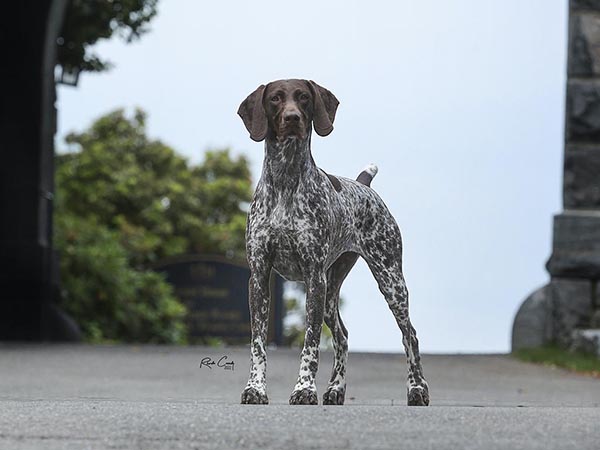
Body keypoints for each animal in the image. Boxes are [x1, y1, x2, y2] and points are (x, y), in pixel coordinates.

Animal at [237, 79, 428, 406]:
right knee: (343, 337)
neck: (286, 179)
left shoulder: (314, 277)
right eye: (275, 98)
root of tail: (363, 185)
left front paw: (304, 389)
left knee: (410, 335)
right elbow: (258, 343)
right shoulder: (259, 277)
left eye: (303, 97)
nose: (292, 118)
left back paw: (417, 389)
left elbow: (311, 343)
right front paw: (256, 389)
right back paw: (336, 389)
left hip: (390, 281)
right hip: (331, 291)